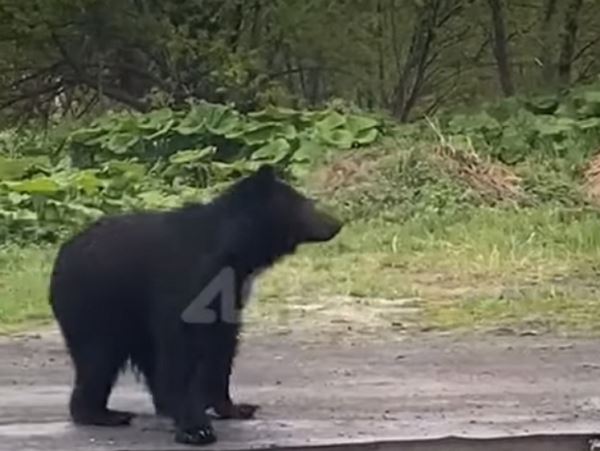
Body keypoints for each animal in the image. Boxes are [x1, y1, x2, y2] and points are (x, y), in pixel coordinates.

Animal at [48, 165, 342, 444]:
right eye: (307, 204)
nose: (336, 223)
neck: (234, 250)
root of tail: (63, 254)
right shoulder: (184, 281)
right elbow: (181, 347)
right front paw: (195, 428)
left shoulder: (229, 291)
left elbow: (222, 345)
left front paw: (233, 407)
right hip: (96, 304)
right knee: (98, 356)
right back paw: (103, 413)